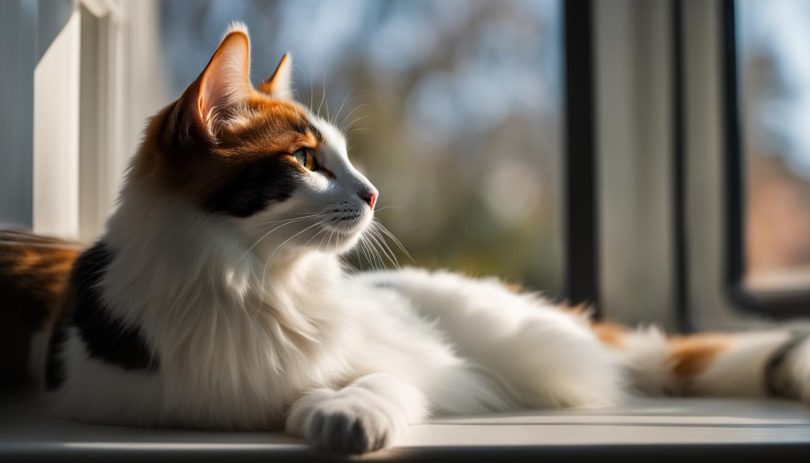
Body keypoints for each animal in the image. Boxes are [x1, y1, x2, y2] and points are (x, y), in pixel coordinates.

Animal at [0, 23, 804, 454]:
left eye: (346, 156)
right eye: (305, 159)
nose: (373, 192)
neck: (250, 277)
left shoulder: (401, 361)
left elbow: (371, 382)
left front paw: (340, 413)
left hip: (533, 345)